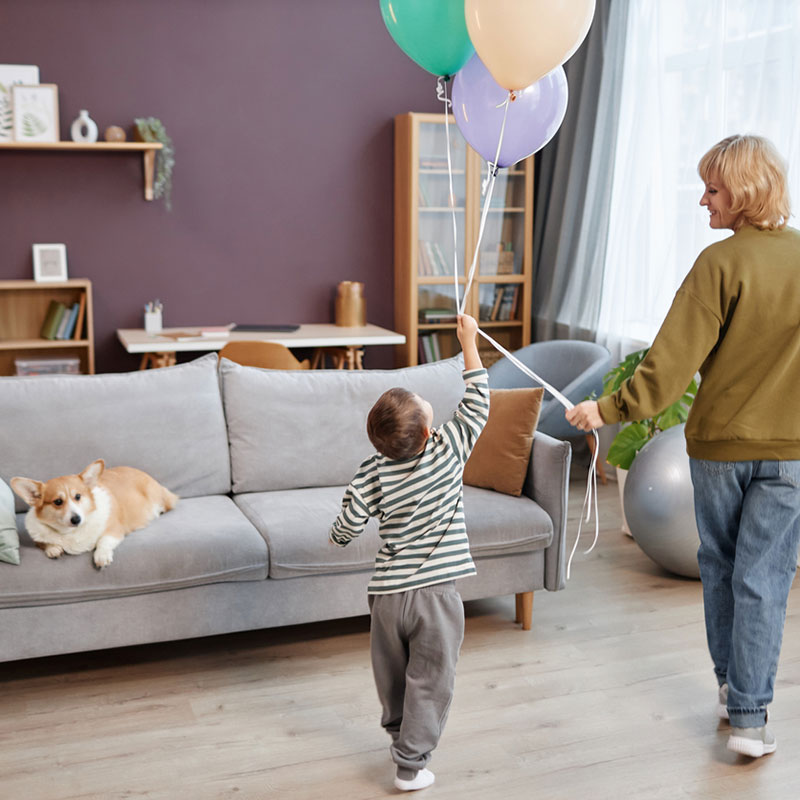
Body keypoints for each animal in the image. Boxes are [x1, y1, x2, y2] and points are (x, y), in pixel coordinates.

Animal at [11, 460, 177, 564]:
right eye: (58, 502)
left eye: (78, 496)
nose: (76, 519)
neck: (70, 533)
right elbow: (44, 542)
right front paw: (53, 549)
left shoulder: (114, 531)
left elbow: (103, 541)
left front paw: (101, 556)